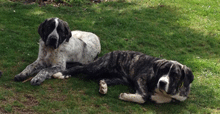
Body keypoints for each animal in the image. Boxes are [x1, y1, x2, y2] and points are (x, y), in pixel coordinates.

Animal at [53, 50, 194, 103]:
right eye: (162, 71)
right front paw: (126, 96)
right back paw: (62, 74)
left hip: (120, 79)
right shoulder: (140, 78)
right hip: (97, 67)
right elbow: (144, 95)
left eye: (175, 75)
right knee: (79, 68)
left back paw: (103, 86)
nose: (162, 82)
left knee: (102, 79)